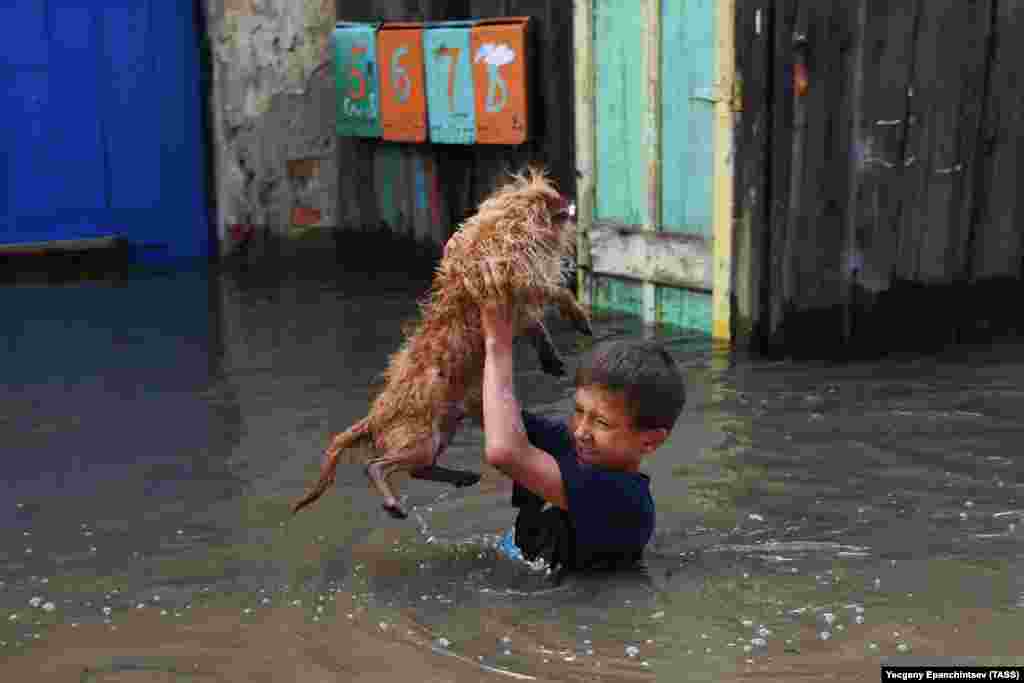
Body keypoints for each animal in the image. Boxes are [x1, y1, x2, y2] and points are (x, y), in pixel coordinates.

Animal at [290, 169, 593, 518]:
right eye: (550, 194)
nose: (568, 201)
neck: (507, 226)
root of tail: (376, 415)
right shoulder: (520, 281)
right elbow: (557, 291)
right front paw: (578, 316)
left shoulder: (519, 307)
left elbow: (538, 327)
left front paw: (552, 359)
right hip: (419, 440)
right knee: (377, 465)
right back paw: (393, 502)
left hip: (442, 433)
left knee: (417, 469)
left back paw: (461, 476)